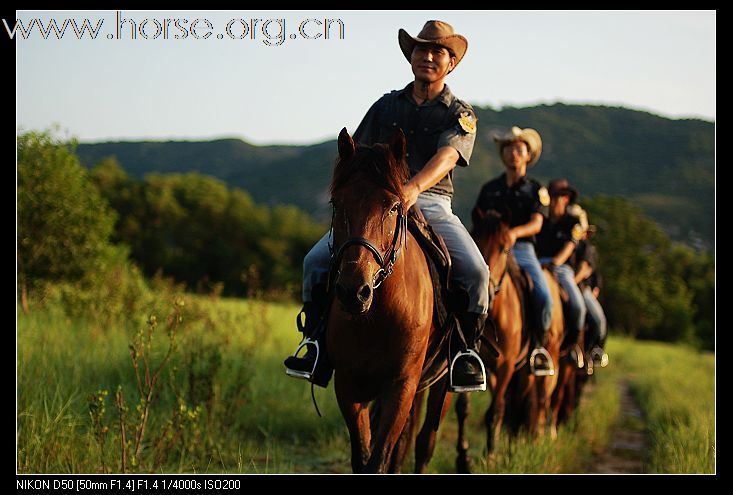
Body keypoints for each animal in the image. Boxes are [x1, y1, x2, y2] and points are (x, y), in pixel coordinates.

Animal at [326, 127, 434, 472]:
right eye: (337, 204)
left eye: (393, 207)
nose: (352, 291)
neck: (378, 315)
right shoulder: (348, 386)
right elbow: (362, 456)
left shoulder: (401, 387)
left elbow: (380, 459)